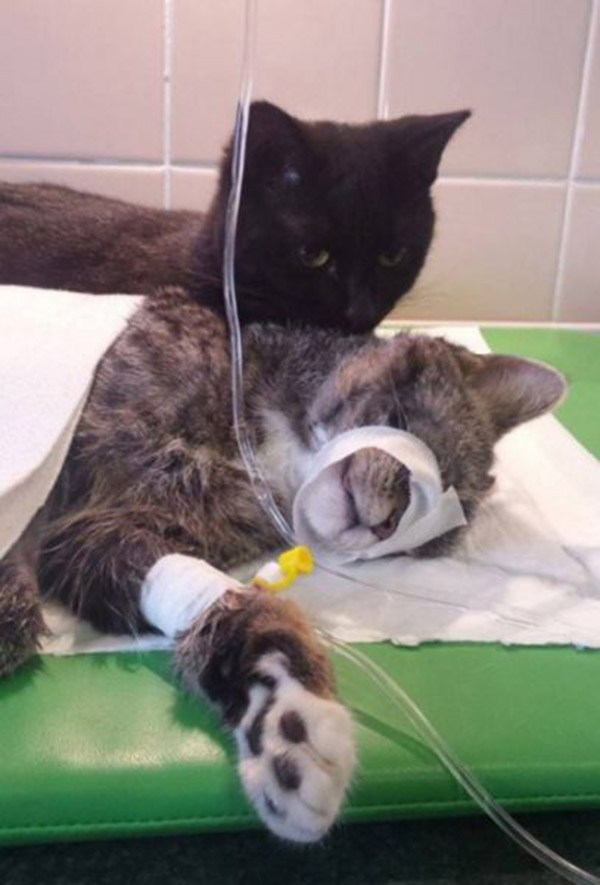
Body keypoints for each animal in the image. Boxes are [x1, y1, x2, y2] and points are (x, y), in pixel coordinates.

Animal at [0, 286, 564, 840]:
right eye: (426, 463)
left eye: (423, 540)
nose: (388, 526)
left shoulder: (97, 539)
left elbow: (234, 611)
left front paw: (284, 716)